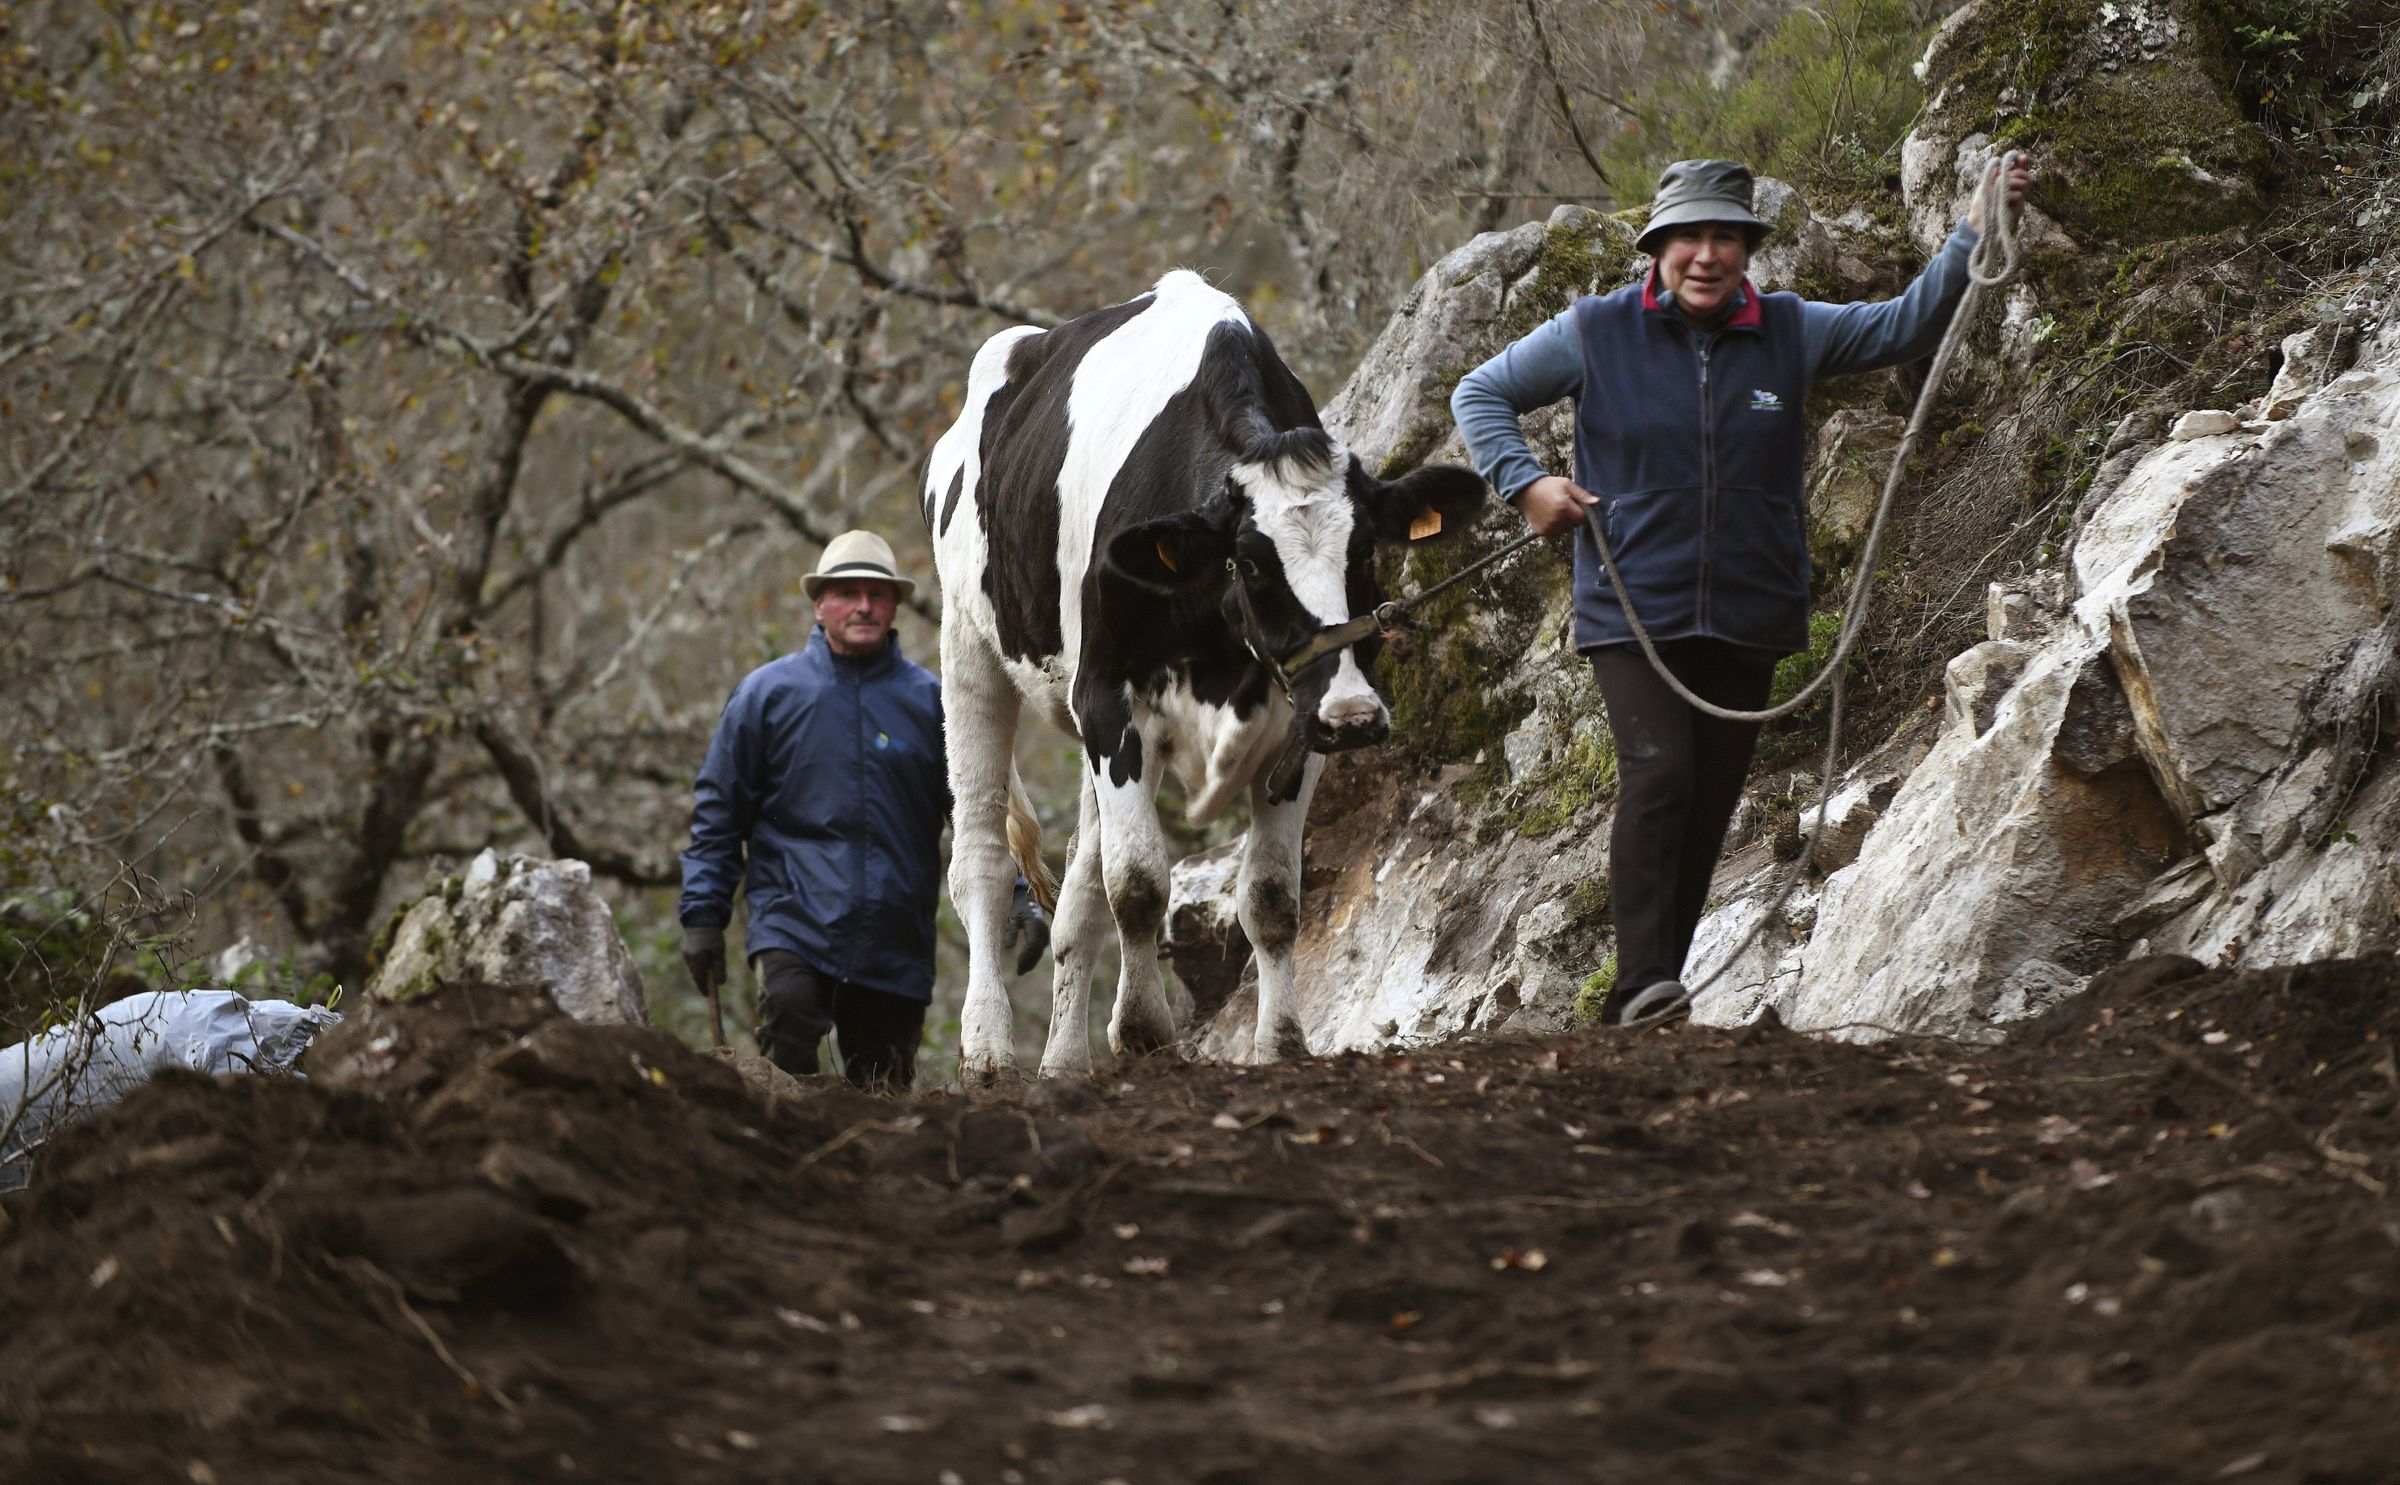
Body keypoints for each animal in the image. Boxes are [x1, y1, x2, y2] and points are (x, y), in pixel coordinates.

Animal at [926, 269, 1486, 1081]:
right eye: (1250, 561)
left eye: (1365, 549)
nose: (1355, 716)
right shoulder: (1108, 699)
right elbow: (1137, 882)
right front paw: (1144, 1030)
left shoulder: (1297, 719)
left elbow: (1271, 898)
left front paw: (1281, 1043)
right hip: (968, 647)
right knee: (983, 860)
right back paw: (988, 1048)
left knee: (1079, 886)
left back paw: (1062, 1061)